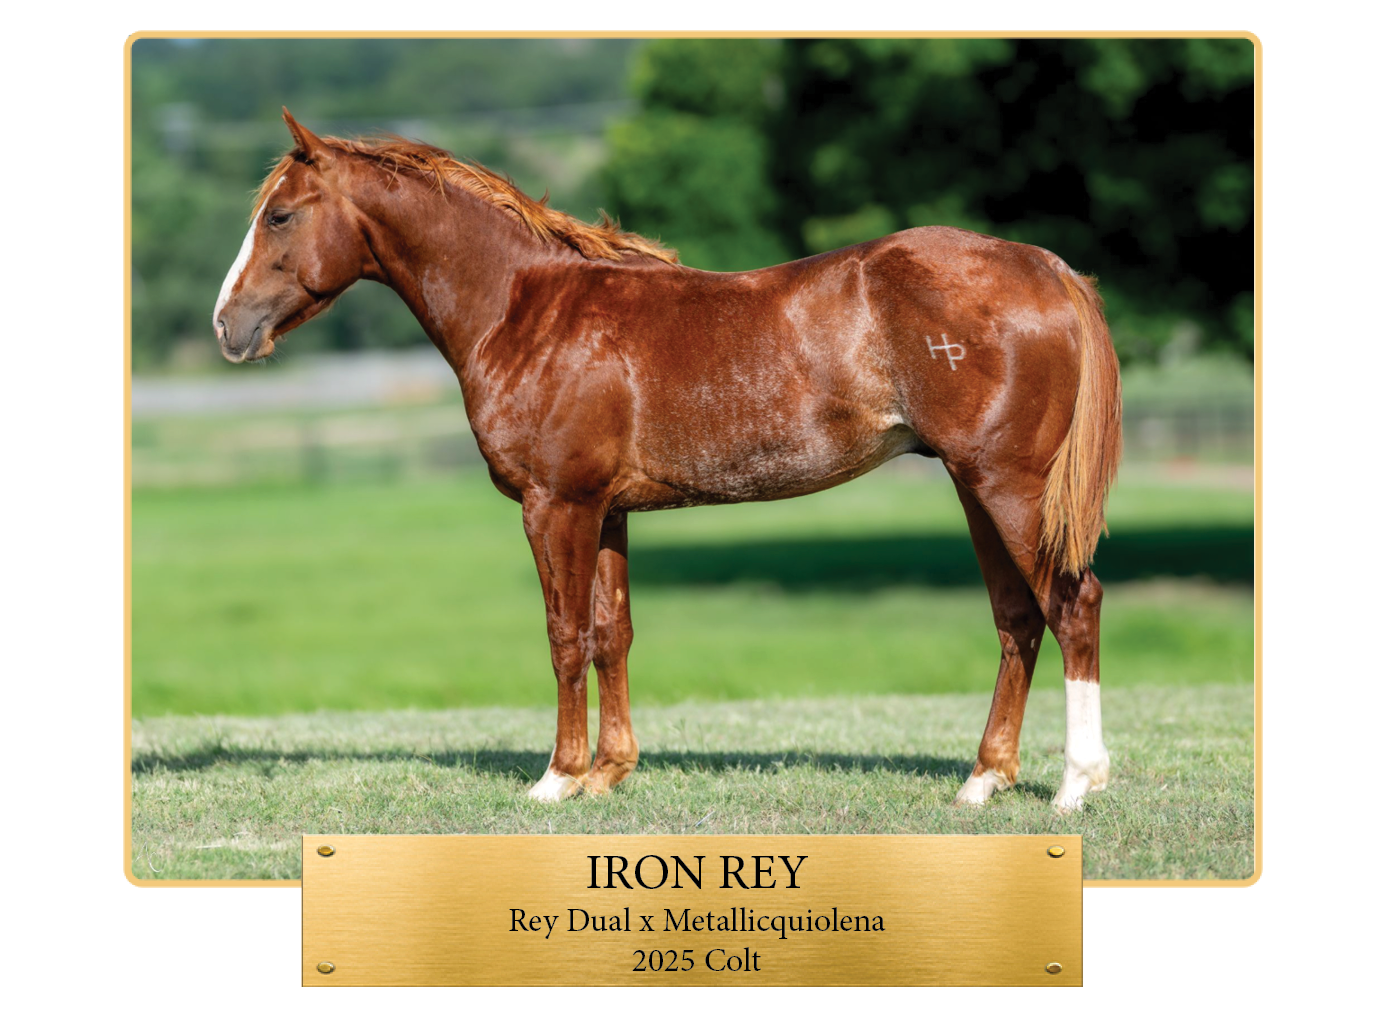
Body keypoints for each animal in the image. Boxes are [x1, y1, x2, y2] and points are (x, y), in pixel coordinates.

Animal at [213, 109, 1122, 812]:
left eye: (281, 216)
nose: (228, 325)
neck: (525, 309)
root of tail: (1043, 266)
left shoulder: (555, 504)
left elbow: (564, 635)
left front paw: (558, 778)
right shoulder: (607, 509)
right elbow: (611, 633)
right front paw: (609, 773)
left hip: (1007, 487)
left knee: (1071, 606)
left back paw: (1076, 782)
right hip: (976, 487)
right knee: (1016, 619)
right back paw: (982, 781)